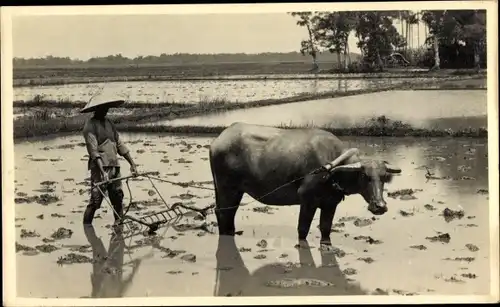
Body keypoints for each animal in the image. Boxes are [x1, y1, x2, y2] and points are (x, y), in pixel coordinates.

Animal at [208, 122, 402, 245]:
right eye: (365, 176)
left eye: (383, 177)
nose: (380, 206)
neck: (333, 169)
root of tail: (217, 141)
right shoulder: (307, 200)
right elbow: (303, 229)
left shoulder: (330, 203)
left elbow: (325, 229)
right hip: (228, 189)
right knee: (224, 213)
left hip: (231, 191)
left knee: (226, 213)